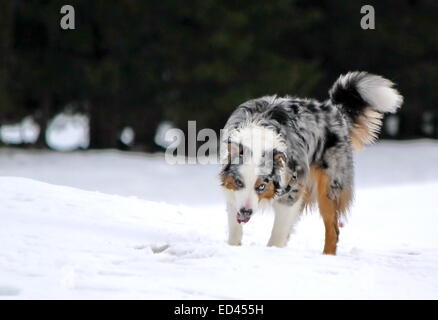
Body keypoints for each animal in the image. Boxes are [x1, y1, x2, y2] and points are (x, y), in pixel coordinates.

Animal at [221, 71, 402, 254]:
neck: (258, 139)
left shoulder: (291, 193)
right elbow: (235, 229)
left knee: (333, 230)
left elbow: (277, 235)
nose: (246, 212)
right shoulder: (232, 193)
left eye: (261, 186)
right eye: (239, 182)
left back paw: (327, 256)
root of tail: (335, 111)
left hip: (329, 188)